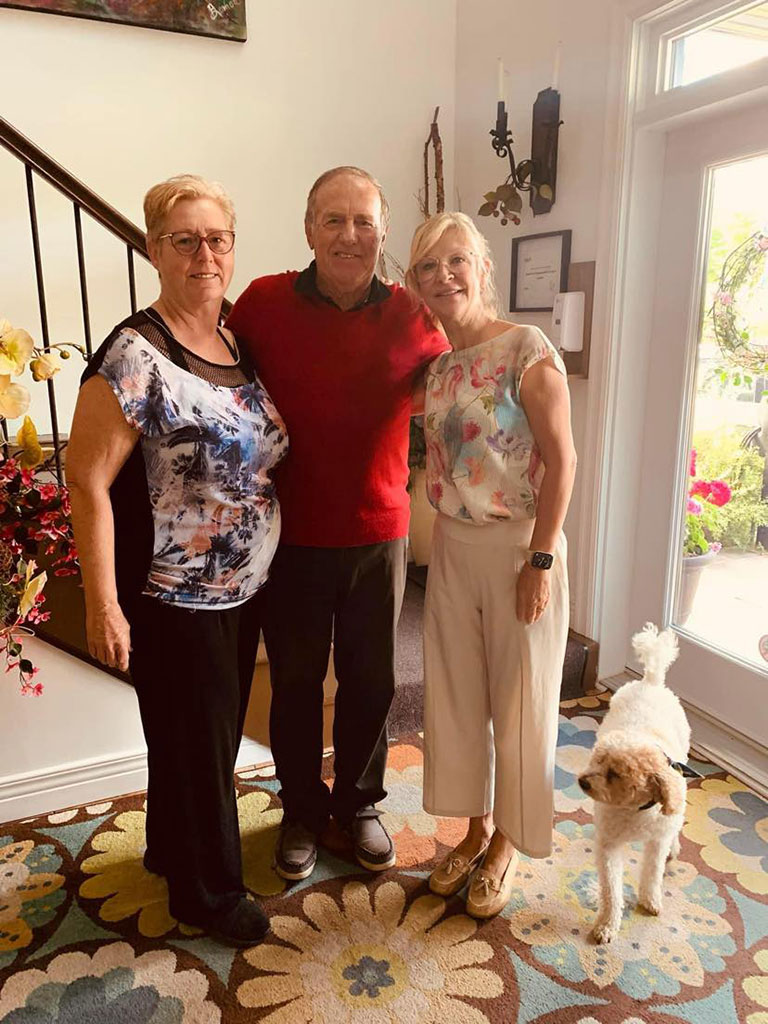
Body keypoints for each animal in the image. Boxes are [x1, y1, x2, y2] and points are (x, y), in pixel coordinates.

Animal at [578, 623, 692, 944]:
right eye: (597, 759)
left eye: (615, 773)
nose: (582, 781)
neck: (636, 810)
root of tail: (650, 681)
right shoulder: (609, 846)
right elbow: (611, 890)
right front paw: (606, 925)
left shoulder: (656, 840)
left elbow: (652, 873)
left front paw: (650, 900)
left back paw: (675, 847)